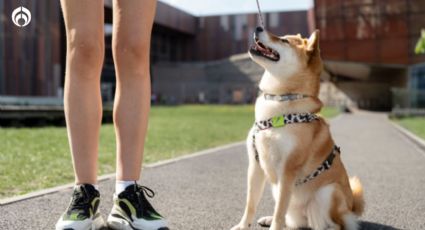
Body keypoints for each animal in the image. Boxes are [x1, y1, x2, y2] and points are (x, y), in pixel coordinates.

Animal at [230, 27, 362, 230]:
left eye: (284, 41)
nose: (258, 28)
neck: (280, 102)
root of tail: (351, 208)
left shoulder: (288, 170)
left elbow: (279, 210)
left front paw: (274, 227)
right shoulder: (255, 166)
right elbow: (250, 204)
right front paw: (243, 225)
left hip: (328, 192)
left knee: (333, 225)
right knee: (291, 220)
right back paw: (270, 219)